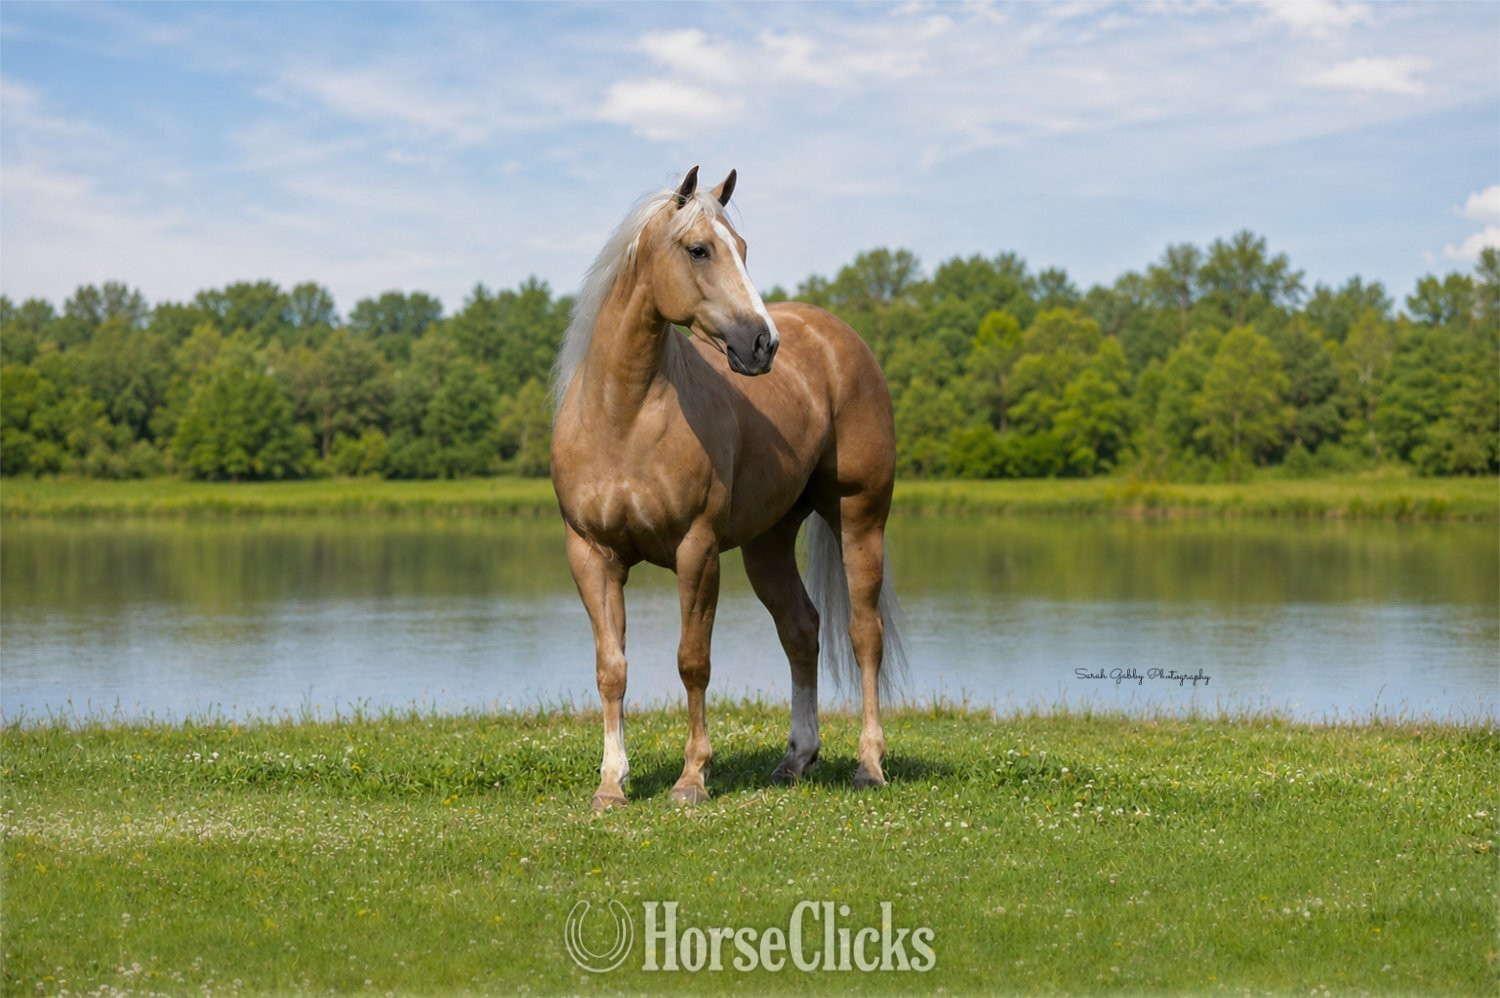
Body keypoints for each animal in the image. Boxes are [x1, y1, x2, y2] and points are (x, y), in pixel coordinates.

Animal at [550, 167, 906, 812]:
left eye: (742, 247)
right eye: (699, 249)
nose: (763, 344)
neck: (623, 418)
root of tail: (835, 335)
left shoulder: (698, 550)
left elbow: (693, 662)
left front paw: (692, 778)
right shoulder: (591, 554)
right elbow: (611, 667)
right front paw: (611, 784)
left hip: (860, 519)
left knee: (864, 634)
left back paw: (869, 765)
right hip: (769, 543)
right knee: (802, 630)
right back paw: (796, 760)